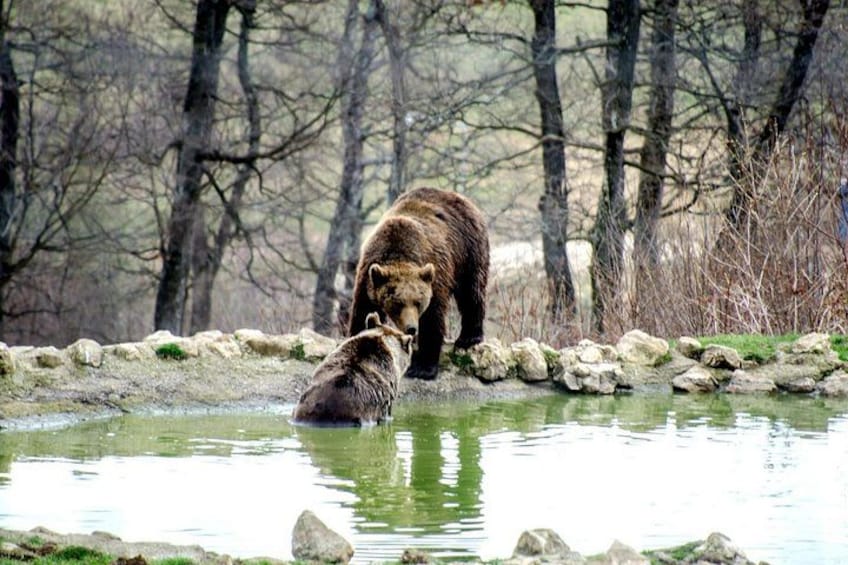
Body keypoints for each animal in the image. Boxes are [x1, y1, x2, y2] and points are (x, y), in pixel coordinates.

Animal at [348, 187, 490, 380]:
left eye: (418, 302)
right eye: (397, 303)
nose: (411, 328)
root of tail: (460, 198)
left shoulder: (434, 276)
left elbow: (433, 317)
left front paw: (423, 367)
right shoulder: (368, 274)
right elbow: (363, 309)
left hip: (468, 250)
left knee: (472, 291)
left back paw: (469, 338)